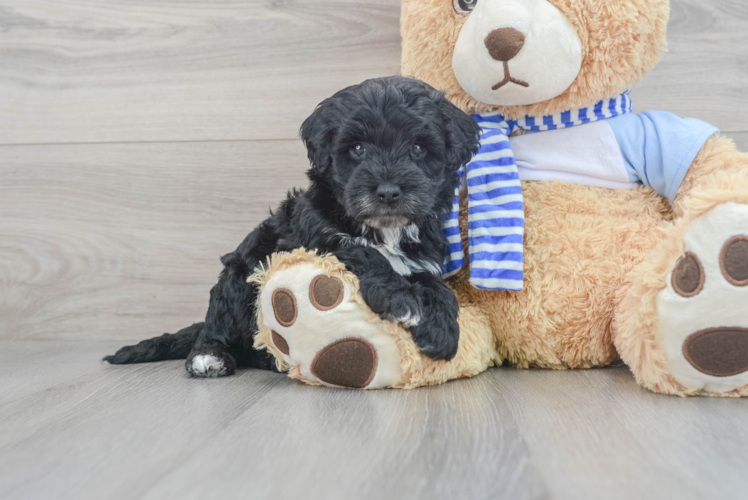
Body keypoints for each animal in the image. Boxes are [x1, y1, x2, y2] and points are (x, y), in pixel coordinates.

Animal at [103, 76, 480, 376]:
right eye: (358, 149)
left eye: (417, 148)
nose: (388, 191)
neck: (383, 229)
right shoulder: (317, 240)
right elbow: (363, 253)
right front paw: (405, 302)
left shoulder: (423, 260)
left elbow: (440, 289)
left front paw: (442, 330)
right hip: (239, 274)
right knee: (219, 320)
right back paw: (209, 356)